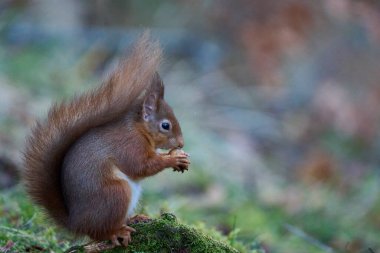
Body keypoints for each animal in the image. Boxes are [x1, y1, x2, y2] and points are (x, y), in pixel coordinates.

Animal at [21, 33, 190, 247]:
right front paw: (173, 159)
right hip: (116, 193)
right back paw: (116, 232)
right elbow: (140, 166)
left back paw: (135, 218)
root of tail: (76, 222)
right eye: (165, 125)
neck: (139, 129)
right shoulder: (129, 144)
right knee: (99, 231)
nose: (181, 144)